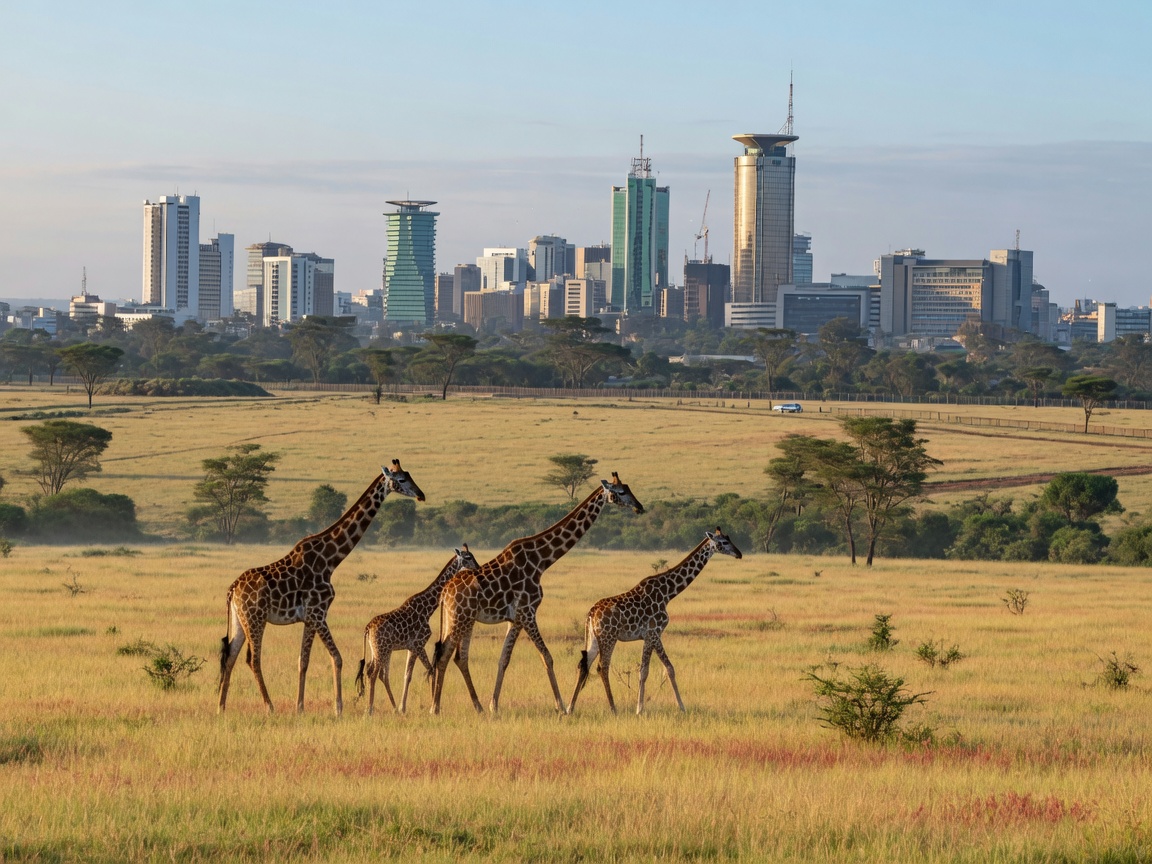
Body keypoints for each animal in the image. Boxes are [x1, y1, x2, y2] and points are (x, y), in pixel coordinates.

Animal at [217, 460, 425, 716]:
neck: (331, 559)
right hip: (256, 618)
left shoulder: (309, 618)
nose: (421, 494)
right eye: (402, 479)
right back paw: (269, 706)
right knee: (252, 659)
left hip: (240, 620)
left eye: (409, 475)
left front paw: (300, 707)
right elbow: (337, 658)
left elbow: (303, 661)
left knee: (230, 657)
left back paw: (221, 707)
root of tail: (232, 589)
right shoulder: (318, 613)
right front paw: (338, 708)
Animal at [354, 544, 479, 714]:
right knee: (373, 674)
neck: (428, 609)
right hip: (381, 649)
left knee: (372, 672)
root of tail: (367, 628)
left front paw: (403, 708)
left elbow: (408, 675)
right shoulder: (419, 644)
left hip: (378, 650)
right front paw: (433, 706)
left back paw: (385, 707)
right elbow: (430, 670)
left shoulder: (411, 647)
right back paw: (370, 709)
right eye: (468, 557)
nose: (478, 568)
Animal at [430, 472, 644, 715]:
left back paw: (472, 706)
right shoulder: (528, 612)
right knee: (445, 653)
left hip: (459, 619)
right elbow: (547, 657)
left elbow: (504, 659)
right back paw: (435, 708)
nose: (639, 507)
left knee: (453, 655)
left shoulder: (516, 618)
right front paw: (561, 706)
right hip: (460, 617)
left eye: (628, 488)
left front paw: (494, 705)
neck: (542, 561)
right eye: (621, 492)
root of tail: (444, 592)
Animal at [567, 527, 742, 716]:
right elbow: (658, 669)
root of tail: (591, 613)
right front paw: (646, 709)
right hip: (609, 637)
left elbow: (656, 669)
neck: (668, 593)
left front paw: (653, 707)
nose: (739, 553)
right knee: (602, 667)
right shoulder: (654, 632)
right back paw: (613, 709)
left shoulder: (649, 635)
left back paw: (570, 708)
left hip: (593, 638)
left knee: (583, 665)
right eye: (723, 542)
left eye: (729, 539)